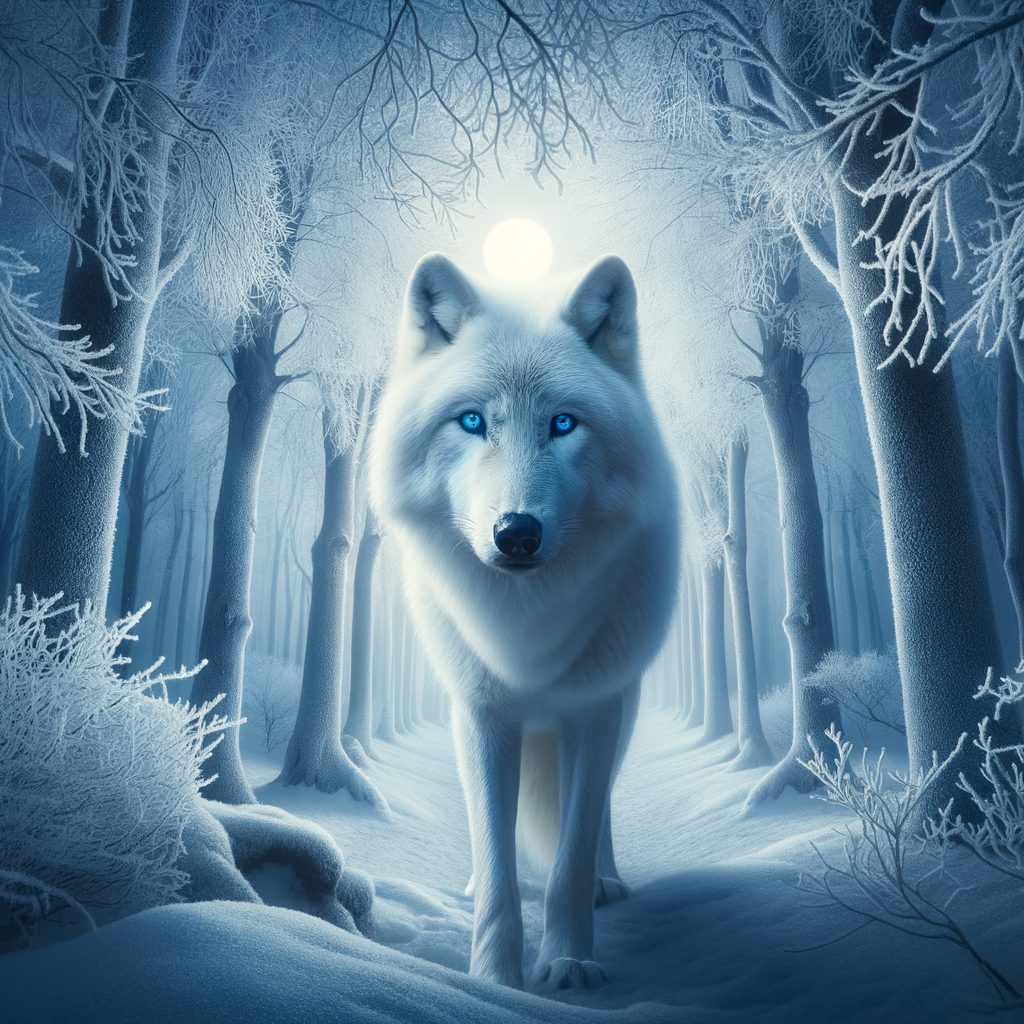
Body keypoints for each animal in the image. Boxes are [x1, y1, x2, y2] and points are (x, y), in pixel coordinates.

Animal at [369, 252, 679, 990]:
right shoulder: (482, 715)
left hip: (621, 706)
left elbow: (570, 854)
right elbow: (498, 864)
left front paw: (567, 962)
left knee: (595, 815)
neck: (529, 621)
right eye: (471, 422)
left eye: (563, 425)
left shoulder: (594, 710)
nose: (516, 533)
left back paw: (606, 881)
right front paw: (492, 978)